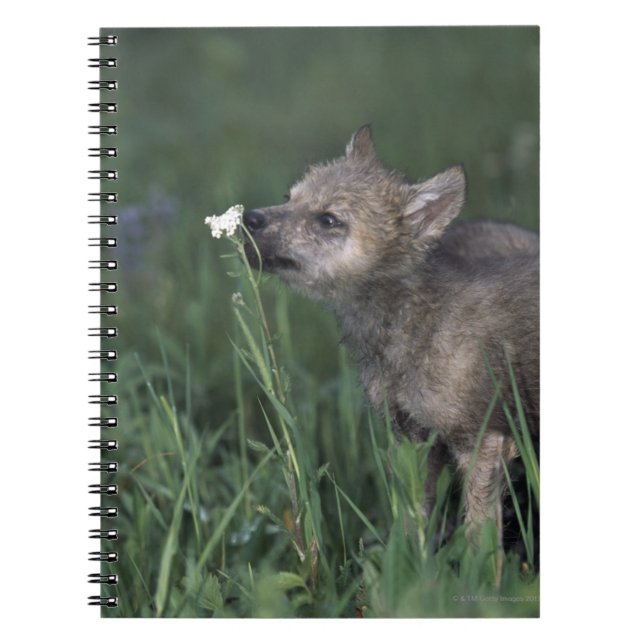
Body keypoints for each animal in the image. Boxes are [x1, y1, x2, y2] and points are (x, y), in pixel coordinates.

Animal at [243, 125, 539, 551]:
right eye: (289, 197)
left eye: (329, 219)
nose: (247, 218)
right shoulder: (410, 436)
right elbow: (412, 521)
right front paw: (407, 563)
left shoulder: (481, 440)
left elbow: (478, 541)